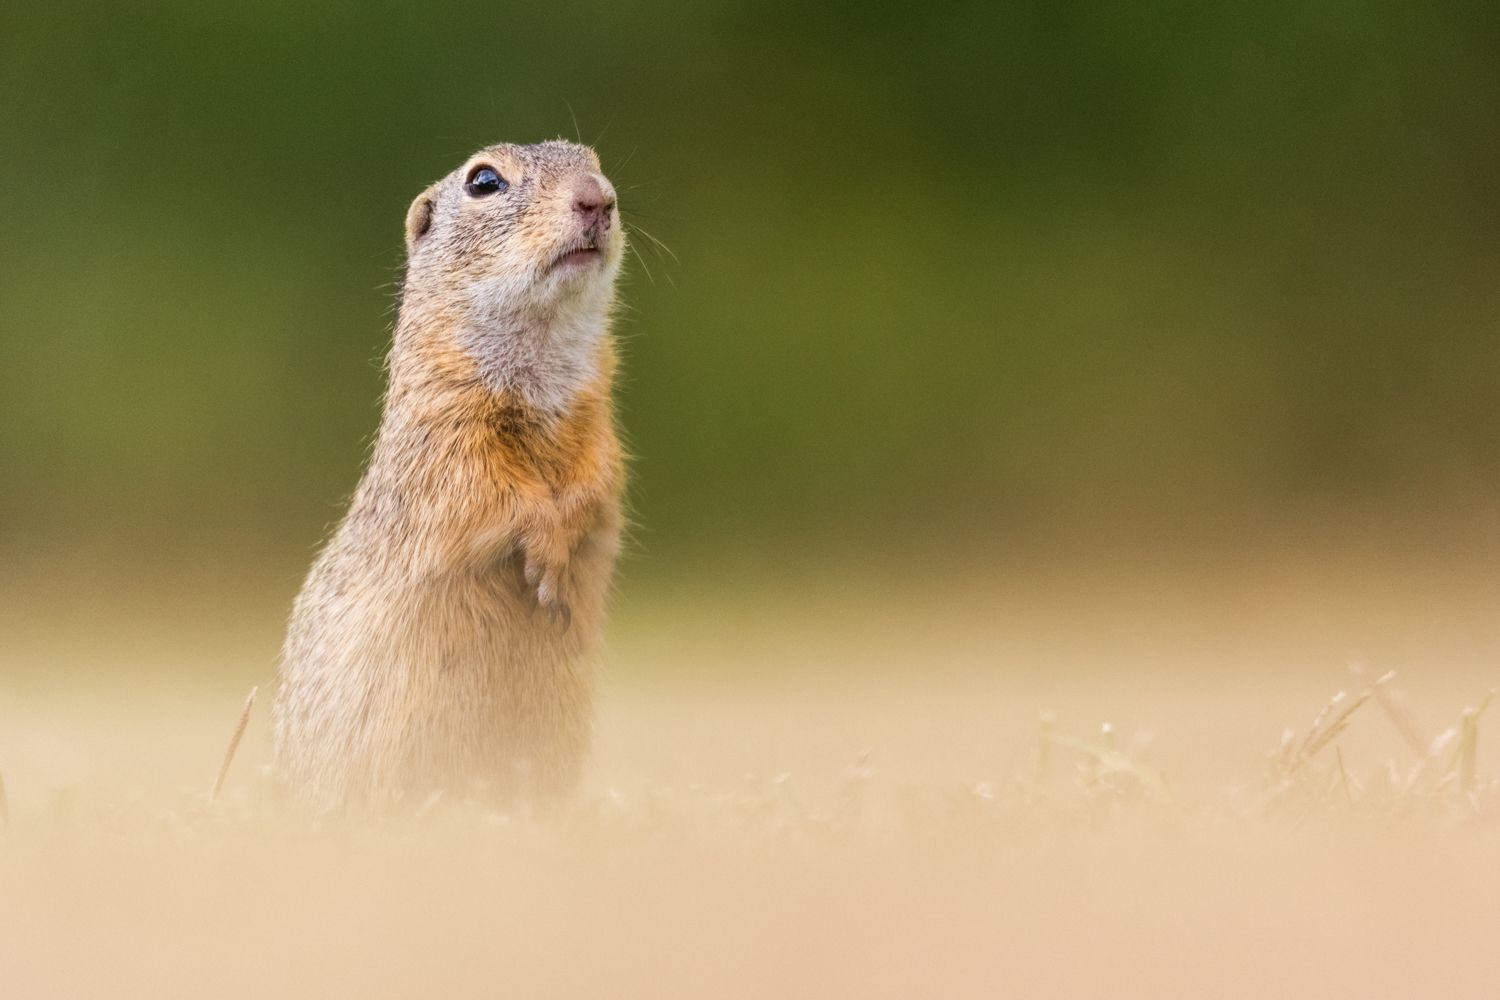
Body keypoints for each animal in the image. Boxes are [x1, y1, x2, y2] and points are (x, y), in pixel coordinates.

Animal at [273, 142, 624, 815]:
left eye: (594, 160)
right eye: (484, 181)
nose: (598, 198)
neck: (541, 362)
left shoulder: (601, 430)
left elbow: (596, 487)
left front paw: (564, 547)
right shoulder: (445, 440)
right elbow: (487, 499)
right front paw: (546, 554)